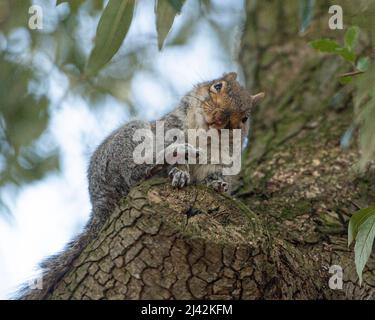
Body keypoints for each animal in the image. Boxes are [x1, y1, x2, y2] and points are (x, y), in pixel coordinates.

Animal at [19, 72, 264, 300]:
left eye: (245, 118)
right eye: (217, 86)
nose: (219, 118)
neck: (204, 137)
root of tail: (99, 203)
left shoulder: (221, 162)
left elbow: (213, 177)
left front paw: (218, 185)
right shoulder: (169, 128)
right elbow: (174, 157)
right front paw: (180, 171)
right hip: (128, 144)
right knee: (137, 172)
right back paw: (172, 154)